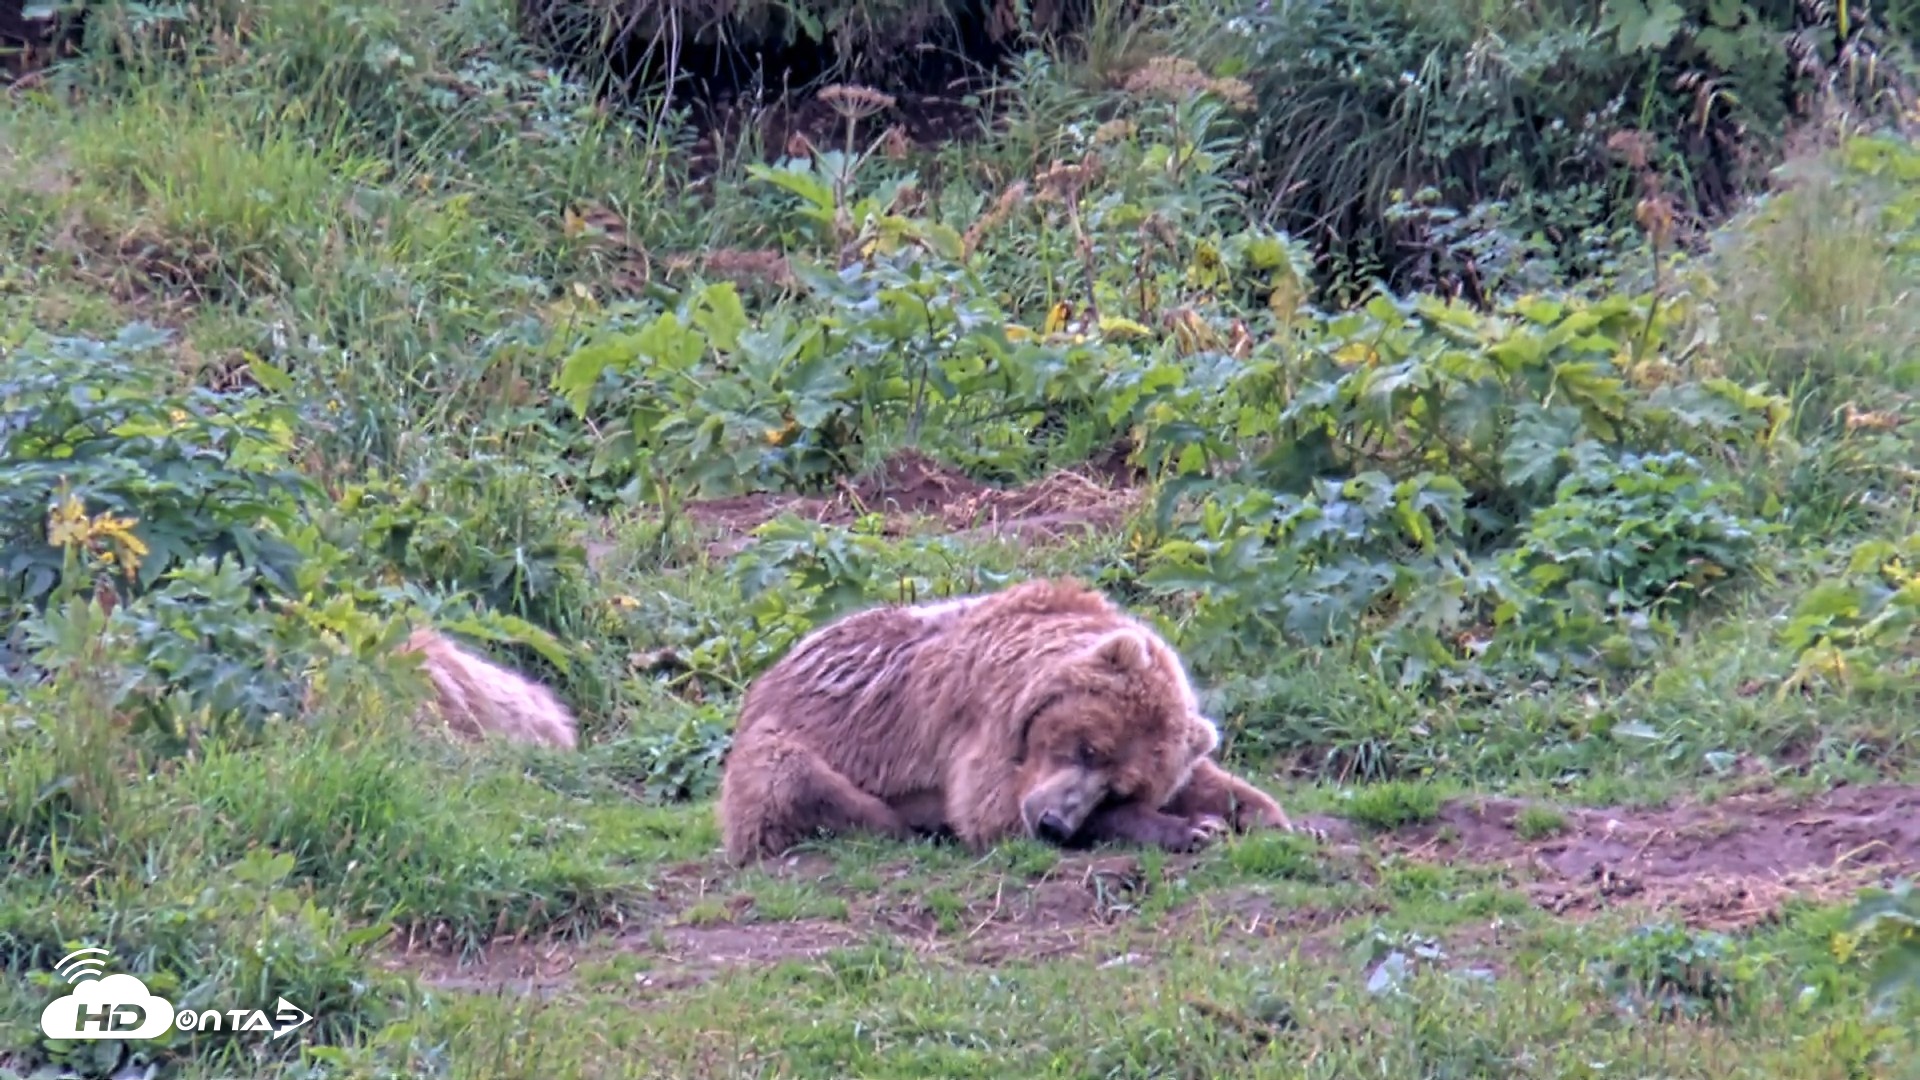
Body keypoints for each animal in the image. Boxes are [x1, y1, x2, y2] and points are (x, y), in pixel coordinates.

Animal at [716, 578, 1290, 864]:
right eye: (1088, 748)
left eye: (1119, 787)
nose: (1055, 822)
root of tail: (767, 675)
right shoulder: (978, 721)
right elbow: (988, 808)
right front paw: (1192, 828)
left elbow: (1207, 779)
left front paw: (1263, 814)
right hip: (777, 742)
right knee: (793, 781)